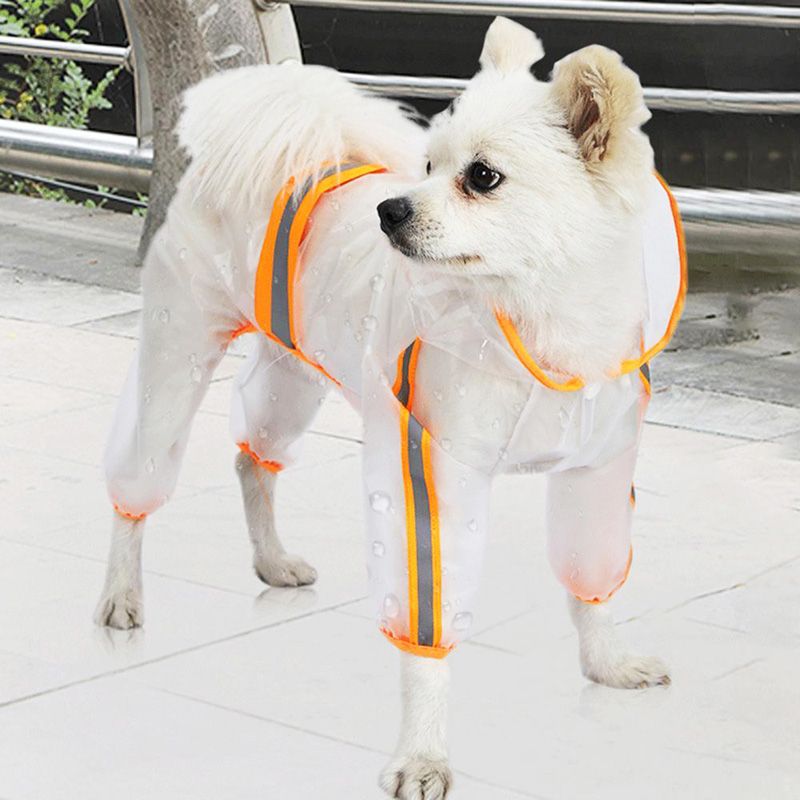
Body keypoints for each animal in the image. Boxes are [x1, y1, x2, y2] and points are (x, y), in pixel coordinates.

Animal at [94, 20, 680, 800]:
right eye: (426, 164)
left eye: (482, 177)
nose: (388, 209)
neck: (533, 322)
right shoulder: (433, 477)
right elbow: (428, 633)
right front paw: (423, 756)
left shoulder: (598, 474)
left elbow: (594, 583)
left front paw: (607, 663)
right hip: (176, 355)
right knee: (138, 488)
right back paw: (121, 593)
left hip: (293, 367)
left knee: (254, 460)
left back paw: (272, 559)